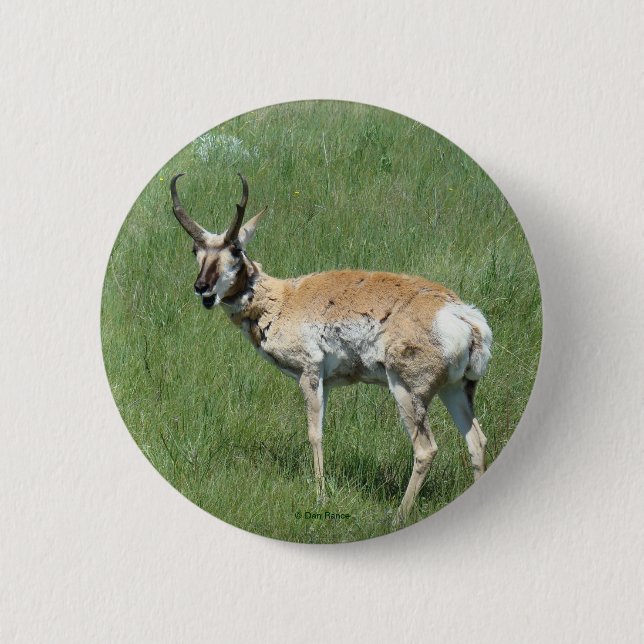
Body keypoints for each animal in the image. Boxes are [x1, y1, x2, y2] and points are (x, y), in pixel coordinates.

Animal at [169, 173, 492, 524]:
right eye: (195, 249)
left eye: (236, 250)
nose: (202, 287)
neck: (283, 299)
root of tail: (461, 314)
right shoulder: (328, 382)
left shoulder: (309, 373)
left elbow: (315, 433)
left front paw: (321, 496)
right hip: (455, 389)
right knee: (477, 442)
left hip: (408, 389)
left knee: (426, 449)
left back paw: (397, 516)